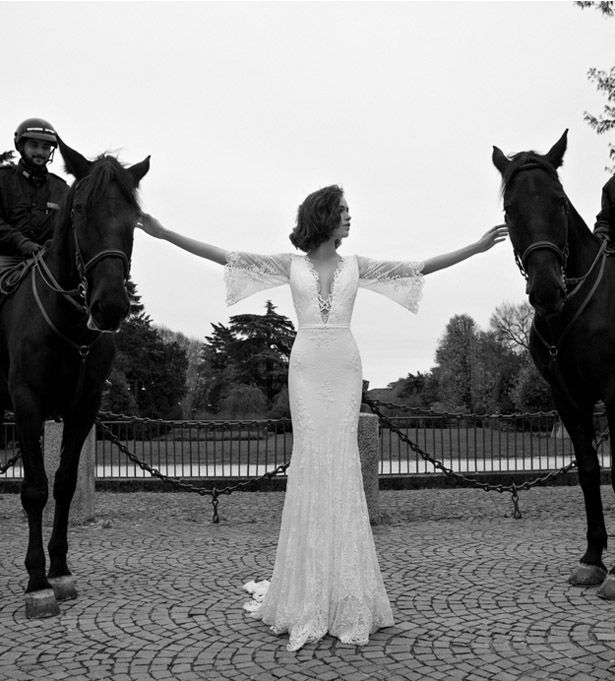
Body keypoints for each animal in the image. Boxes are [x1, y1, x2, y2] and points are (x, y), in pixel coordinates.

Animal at [0, 139, 149, 616]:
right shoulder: (26, 404)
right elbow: (34, 489)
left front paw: (60, 569)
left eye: (133, 219)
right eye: (80, 209)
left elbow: (64, 484)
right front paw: (36, 580)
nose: (110, 306)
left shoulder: (83, 408)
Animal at [496, 130, 615, 596]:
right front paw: (593, 557)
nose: (547, 287)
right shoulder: (568, 399)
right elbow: (588, 469)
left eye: (560, 201)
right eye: (510, 210)